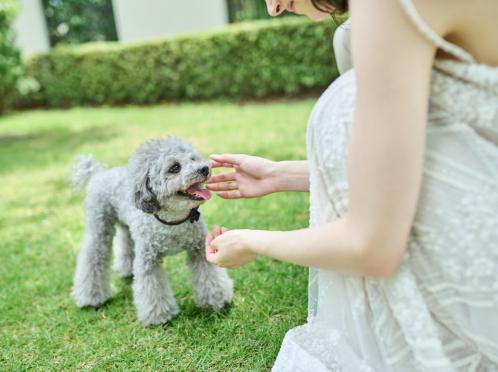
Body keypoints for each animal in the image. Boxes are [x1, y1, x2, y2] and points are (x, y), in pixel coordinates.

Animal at [70, 137, 233, 326]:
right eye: (174, 167)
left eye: (193, 159)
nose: (205, 168)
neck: (173, 221)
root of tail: (98, 174)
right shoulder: (149, 260)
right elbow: (152, 288)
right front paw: (160, 316)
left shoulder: (199, 249)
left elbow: (210, 276)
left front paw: (217, 300)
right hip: (99, 228)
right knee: (93, 258)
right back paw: (92, 297)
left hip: (127, 227)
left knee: (126, 242)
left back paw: (126, 270)